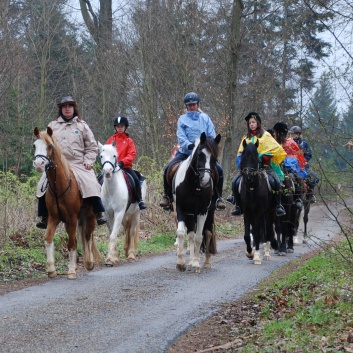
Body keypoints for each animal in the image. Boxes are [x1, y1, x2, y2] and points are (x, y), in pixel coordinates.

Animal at [33, 126, 101, 278]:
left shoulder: (71, 218)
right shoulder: (54, 218)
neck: (59, 186)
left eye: (50, 146)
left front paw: (70, 271)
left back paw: (89, 263)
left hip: (89, 217)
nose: (39, 164)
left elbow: (71, 244)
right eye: (34, 145)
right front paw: (51, 269)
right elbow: (48, 240)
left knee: (87, 236)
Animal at [173, 132, 220, 272]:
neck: (195, 186)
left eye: (214, 157)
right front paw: (181, 263)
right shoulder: (181, 209)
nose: (205, 180)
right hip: (190, 214)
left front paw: (195, 263)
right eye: (200, 155)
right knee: (191, 235)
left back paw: (206, 262)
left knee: (208, 233)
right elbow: (182, 233)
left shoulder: (202, 211)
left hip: (209, 213)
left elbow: (199, 237)